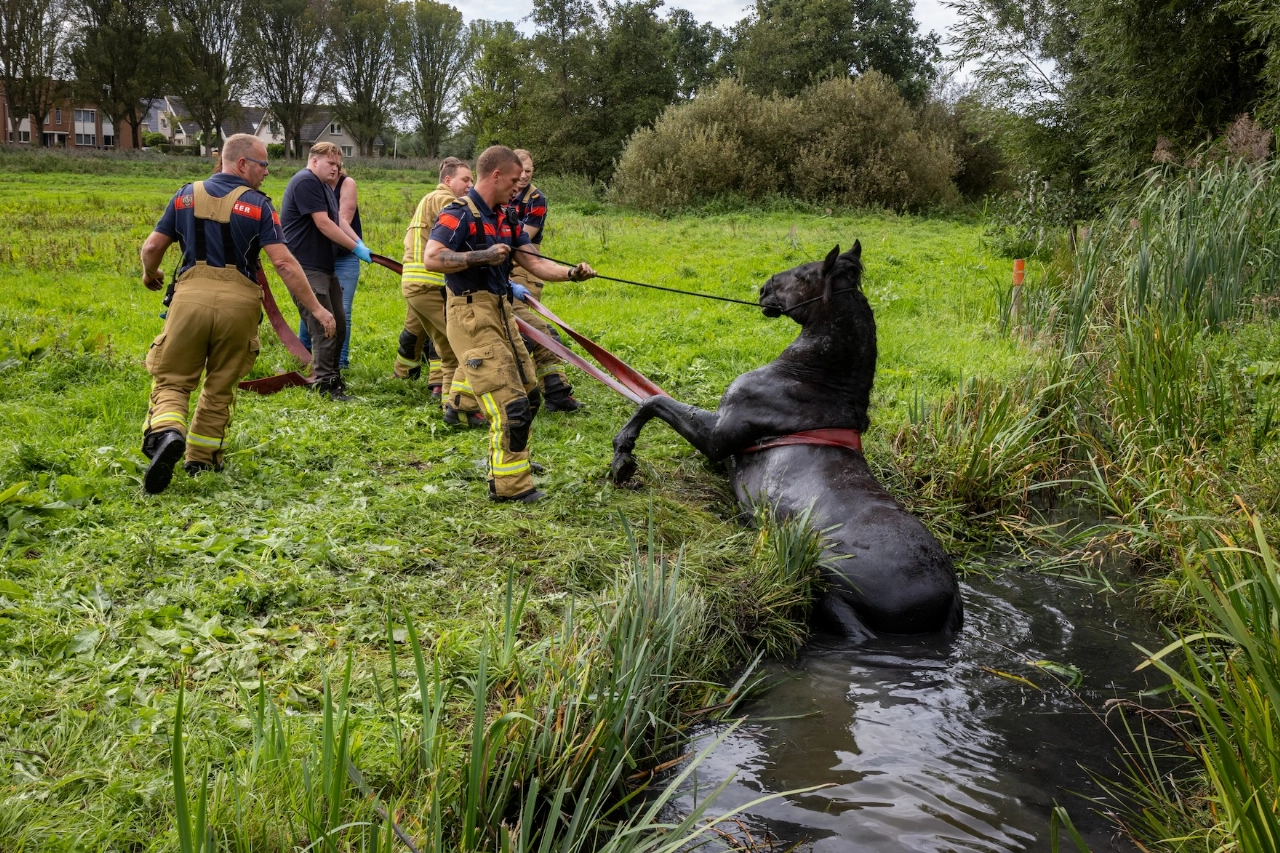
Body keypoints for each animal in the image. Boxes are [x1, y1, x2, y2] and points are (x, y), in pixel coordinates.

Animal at [609, 242, 962, 638]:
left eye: (805, 274)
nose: (764, 289)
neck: (810, 380)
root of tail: (948, 598)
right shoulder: (724, 449)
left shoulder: (716, 435)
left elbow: (652, 401)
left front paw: (623, 457)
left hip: (827, 570)